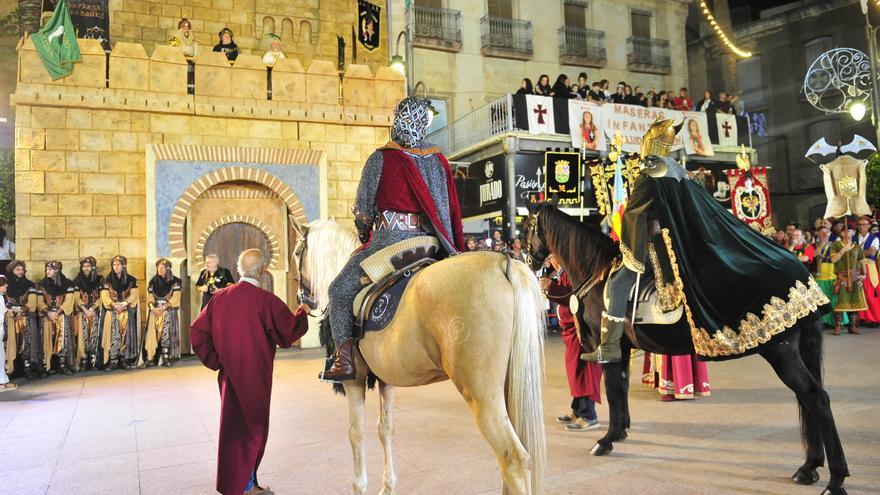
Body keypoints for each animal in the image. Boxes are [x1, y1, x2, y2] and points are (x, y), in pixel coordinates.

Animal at [292, 222, 548, 495]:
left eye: (297, 253)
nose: (301, 299)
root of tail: (503, 262)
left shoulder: (354, 380)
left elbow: (356, 433)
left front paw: (360, 486)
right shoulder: (386, 381)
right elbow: (386, 429)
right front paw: (388, 486)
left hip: (482, 395)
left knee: (514, 459)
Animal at [524, 204, 848, 495]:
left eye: (528, 226)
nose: (529, 260)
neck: (599, 272)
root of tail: (801, 274)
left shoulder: (609, 348)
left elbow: (613, 392)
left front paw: (607, 440)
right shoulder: (623, 348)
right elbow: (622, 389)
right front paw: (622, 429)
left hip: (781, 353)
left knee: (816, 399)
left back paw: (834, 480)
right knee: (807, 400)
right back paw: (809, 468)